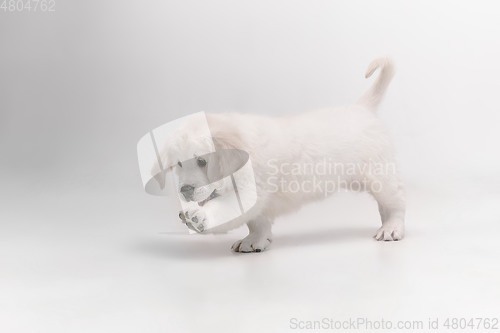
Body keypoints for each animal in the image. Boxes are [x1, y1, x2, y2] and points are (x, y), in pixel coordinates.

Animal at [162, 57, 404, 252]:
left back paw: (392, 228)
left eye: (202, 161)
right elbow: (257, 223)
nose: (184, 190)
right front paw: (254, 240)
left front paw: (198, 217)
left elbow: (227, 208)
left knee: (396, 201)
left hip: (378, 176)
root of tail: (362, 108)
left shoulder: (252, 191)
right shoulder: (258, 204)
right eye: (179, 164)